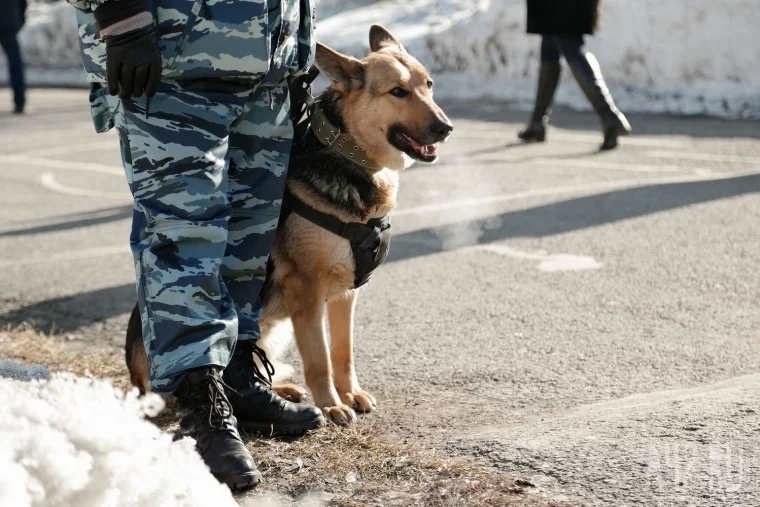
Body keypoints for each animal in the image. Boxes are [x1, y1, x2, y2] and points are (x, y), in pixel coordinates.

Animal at [126, 25, 452, 426]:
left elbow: (342, 353)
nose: (446, 128)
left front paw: (350, 393)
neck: (349, 154)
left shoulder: (346, 294)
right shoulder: (306, 292)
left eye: (429, 85)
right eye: (398, 92)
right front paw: (331, 405)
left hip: (272, 329)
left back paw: (279, 391)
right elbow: (319, 358)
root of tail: (134, 376)